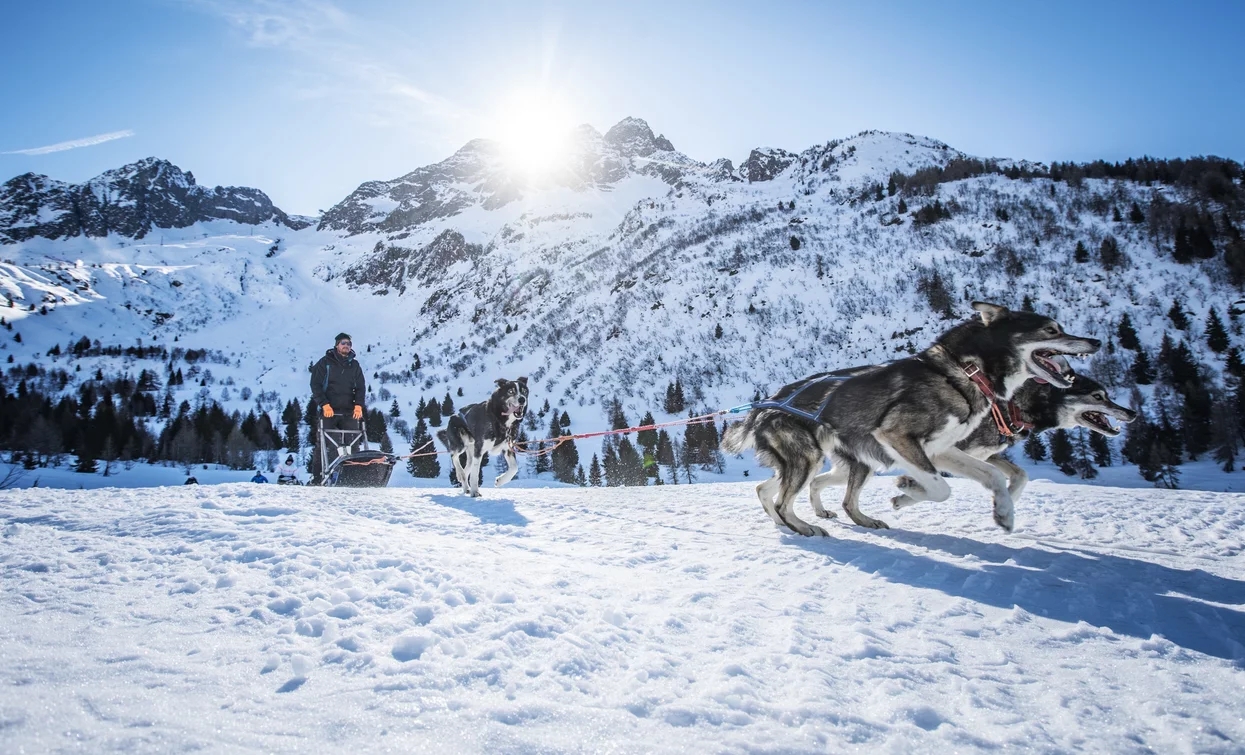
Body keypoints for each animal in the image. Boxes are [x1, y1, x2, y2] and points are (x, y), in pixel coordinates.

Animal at [722, 301, 1100, 538]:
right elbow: (941, 488)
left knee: (777, 491)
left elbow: (992, 476)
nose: (1095, 340)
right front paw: (906, 492)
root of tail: (763, 407)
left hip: (824, 462)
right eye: (1051, 330)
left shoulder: (942, 449)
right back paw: (802, 526)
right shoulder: (899, 438)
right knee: (785, 500)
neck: (964, 371)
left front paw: (1004, 513)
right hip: (808, 457)